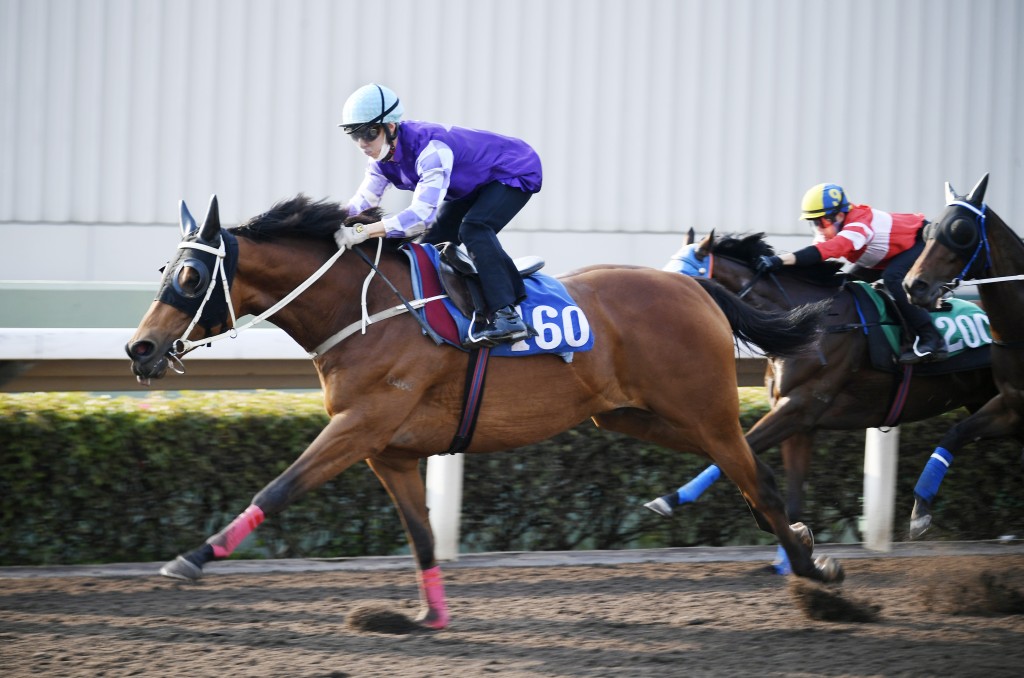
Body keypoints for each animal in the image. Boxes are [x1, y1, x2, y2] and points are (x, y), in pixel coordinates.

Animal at [123, 193, 839, 630]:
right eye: (165, 269)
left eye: (190, 278)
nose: (140, 348)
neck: (363, 310)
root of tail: (695, 287)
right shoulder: (390, 450)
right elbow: (420, 535)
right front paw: (428, 617)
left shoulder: (361, 425)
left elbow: (279, 487)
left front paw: (193, 558)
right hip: (633, 415)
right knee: (746, 467)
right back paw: (799, 542)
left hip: (702, 409)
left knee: (755, 475)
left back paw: (813, 573)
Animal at [647, 232, 991, 548]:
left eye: (683, 282)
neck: (805, 326)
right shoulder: (798, 422)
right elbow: (790, 491)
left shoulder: (800, 407)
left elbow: (732, 455)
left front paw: (670, 499)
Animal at [905, 175, 1024, 540]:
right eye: (929, 231)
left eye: (960, 230)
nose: (913, 285)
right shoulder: (1012, 406)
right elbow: (955, 433)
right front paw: (920, 511)